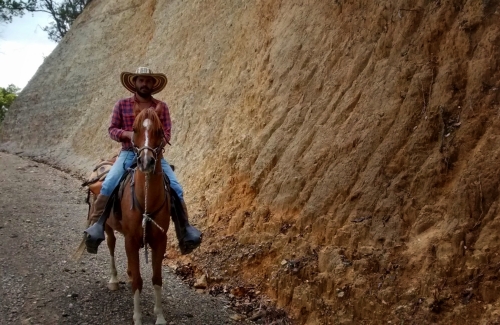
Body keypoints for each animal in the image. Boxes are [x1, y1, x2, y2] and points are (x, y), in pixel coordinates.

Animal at [105, 107, 170, 324]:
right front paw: (138, 317)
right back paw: (114, 279)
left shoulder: (160, 240)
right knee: (110, 245)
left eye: (159, 130)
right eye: (133, 129)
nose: (146, 161)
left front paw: (160, 316)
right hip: (108, 227)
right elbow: (138, 282)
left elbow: (156, 278)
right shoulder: (132, 240)